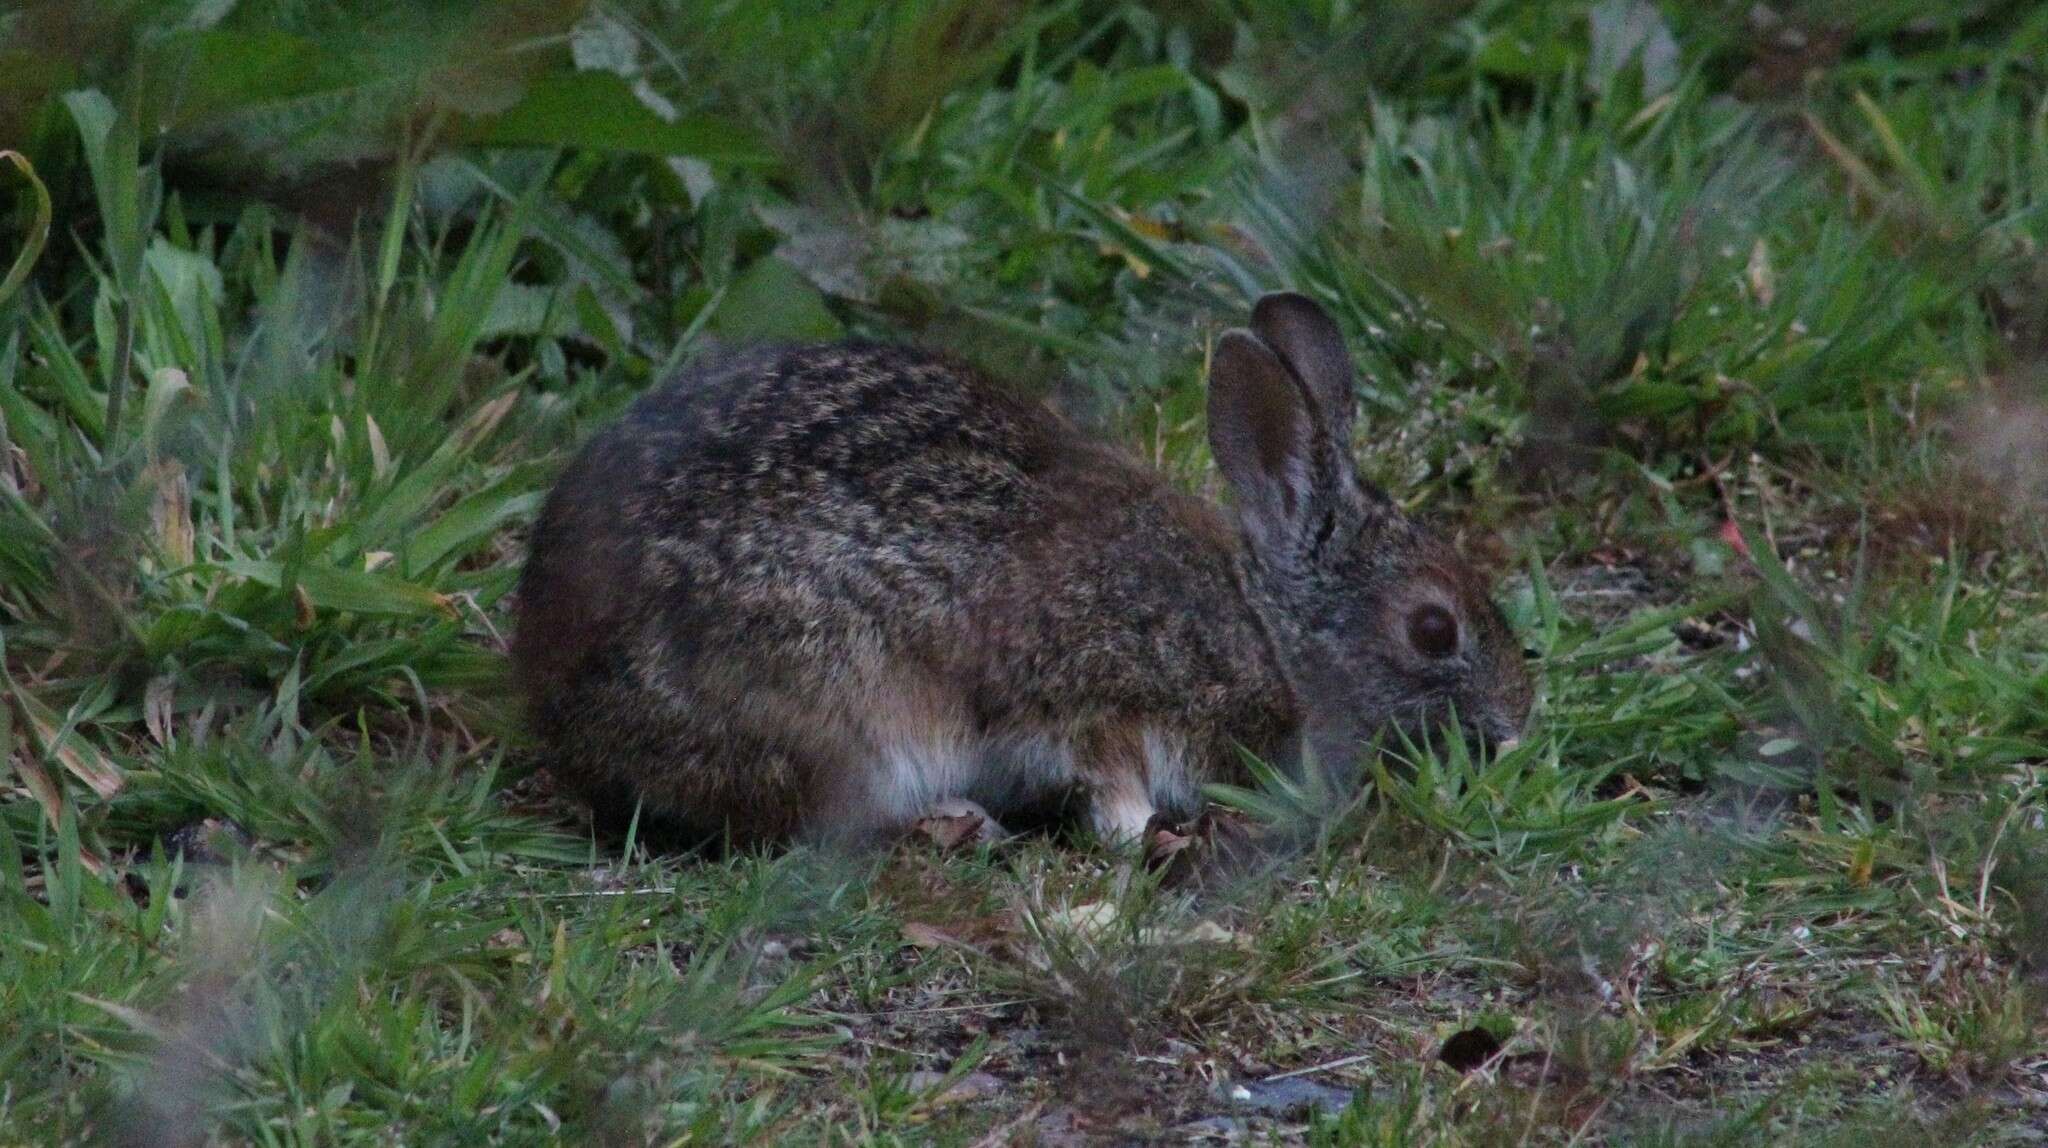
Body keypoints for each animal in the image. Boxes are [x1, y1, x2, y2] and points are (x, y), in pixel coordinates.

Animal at [512, 292, 1540, 851]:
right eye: (1433, 628)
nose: (1515, 723)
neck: (1268, 628)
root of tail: (558, 700)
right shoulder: (1098, 690)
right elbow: (1103, 770)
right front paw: (1139, 832)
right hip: (833, 692)